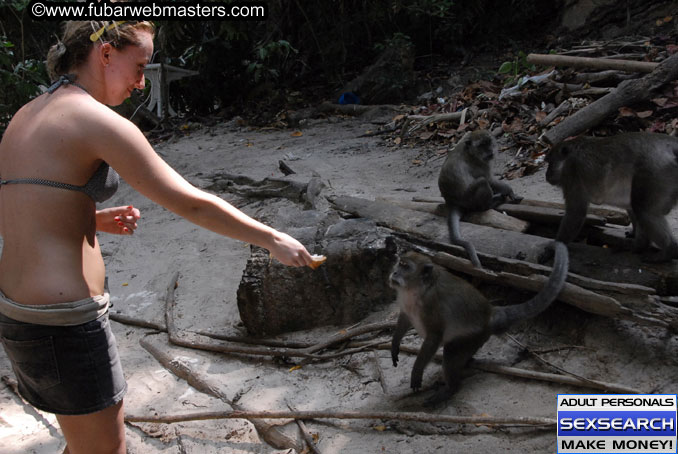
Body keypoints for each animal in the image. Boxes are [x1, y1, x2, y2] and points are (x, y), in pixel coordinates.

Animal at [390, 243, 572, 406]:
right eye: (400, 263)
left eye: (406, 267)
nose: (394, 272)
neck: (416, 289)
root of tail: (489, 316)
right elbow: (405, 318)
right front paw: (395, 344)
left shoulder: (431, 304)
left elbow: (435, 336)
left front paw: (417, 372)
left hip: (473, 337)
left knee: (451, 352)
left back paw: (450, 389)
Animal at [440, 129, 524, 268]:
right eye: (481, 145)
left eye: (488, 143)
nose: (490, 151)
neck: (470, 152)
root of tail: (452, 202)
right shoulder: (480, 164)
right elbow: (489, 180)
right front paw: (510, 191)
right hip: (470, 201)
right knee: (482, 182)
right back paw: (490, 203)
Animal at [544, 132, 678, 262]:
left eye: (550, 162)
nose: (547, 174)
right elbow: (630, 207)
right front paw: (635, 236)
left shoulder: (571, 173)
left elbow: (576, 214)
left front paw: (555, 248)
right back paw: (640, 246)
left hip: (655, 171)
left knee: (643, 211)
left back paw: (669, 251)